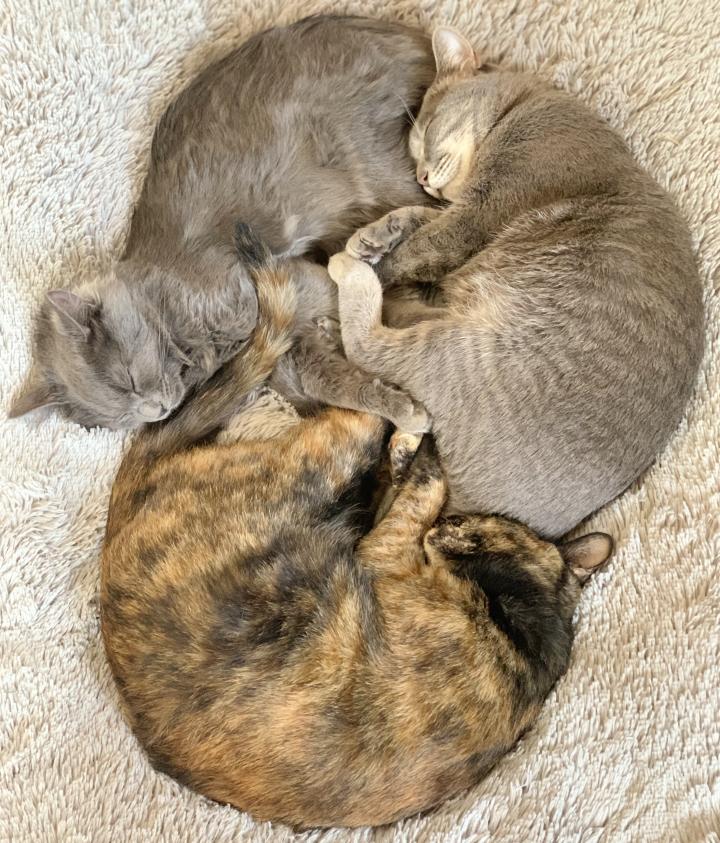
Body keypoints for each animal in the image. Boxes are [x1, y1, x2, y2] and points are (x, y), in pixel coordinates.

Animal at [9, 15, 435, 430]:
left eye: (128, 379)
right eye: (116, 419)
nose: (156, 412)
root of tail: (410, 35)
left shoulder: (269, 289)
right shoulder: (277, 337)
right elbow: (321, 375)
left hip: (375, 168)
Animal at [101, 237, 613, 829]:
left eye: (480, 525)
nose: (453, 523)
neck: (521, 637)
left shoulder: (383, 549)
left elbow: (424, 485)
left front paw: (418, 456)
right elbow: (417, 483)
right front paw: (410, 458)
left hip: (322, 456)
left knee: (355, 396)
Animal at [327, 25, 704, 538]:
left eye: (427, 129)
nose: (421, 176)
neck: (528, 102)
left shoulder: (480, 212)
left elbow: (420, 245)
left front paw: (377, 254)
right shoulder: (463, 213)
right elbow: (417, 217)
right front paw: (376, 232)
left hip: (461, 351)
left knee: (371, 343)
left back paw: (347, 274)